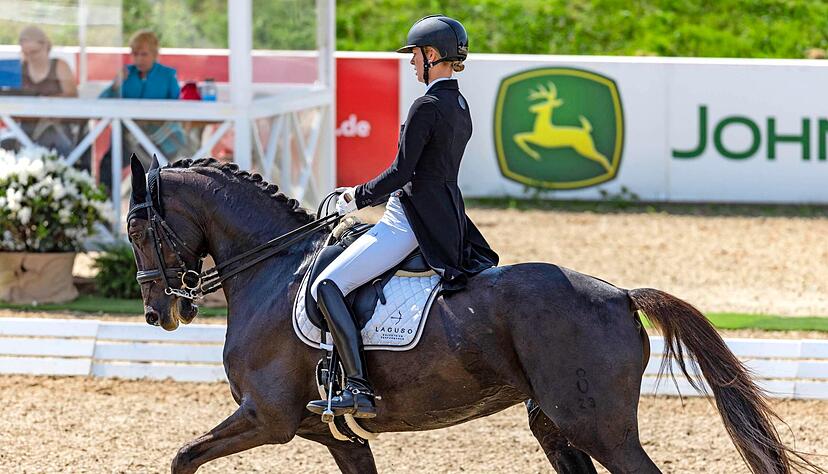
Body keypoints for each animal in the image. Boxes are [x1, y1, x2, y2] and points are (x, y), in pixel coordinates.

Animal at [126, 157, 818, 474]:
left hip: (599, 426)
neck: (273, 270)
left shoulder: (266, 418)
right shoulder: (335, 435)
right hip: (555, 422)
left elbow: (183, 457)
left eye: (136, 230)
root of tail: (620, 294)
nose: (159, 312)